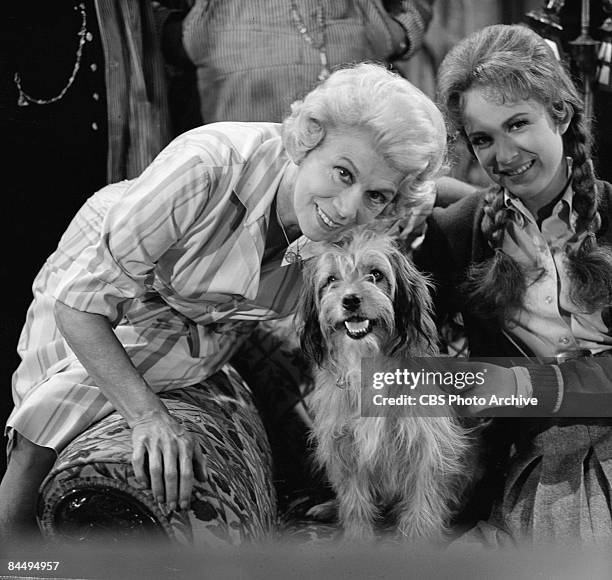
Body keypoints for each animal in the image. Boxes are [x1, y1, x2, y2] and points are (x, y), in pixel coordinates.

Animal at [298, 229, 476, 540]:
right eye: (331, 280)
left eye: (375, 274)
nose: (350, 300)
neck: (368, 364)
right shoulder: (345, 448)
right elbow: (355, 503)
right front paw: (357, 540)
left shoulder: (427, 446)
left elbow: (422, 506)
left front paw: (417, 542)